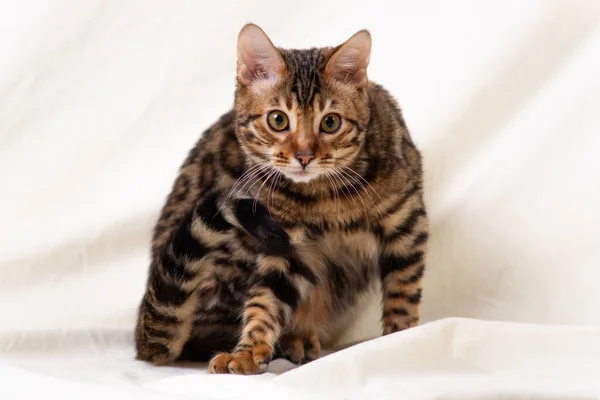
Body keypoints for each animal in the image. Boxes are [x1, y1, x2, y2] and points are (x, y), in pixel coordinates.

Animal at [135, 23, 426, 376]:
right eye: (278, 120)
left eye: (330, 122)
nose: (304, 156)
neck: (325, 196)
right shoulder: (285, 245)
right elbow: (265, 301)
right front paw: (247, 351)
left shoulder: (407, 225)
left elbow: (403, 294)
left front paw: (401, 341)